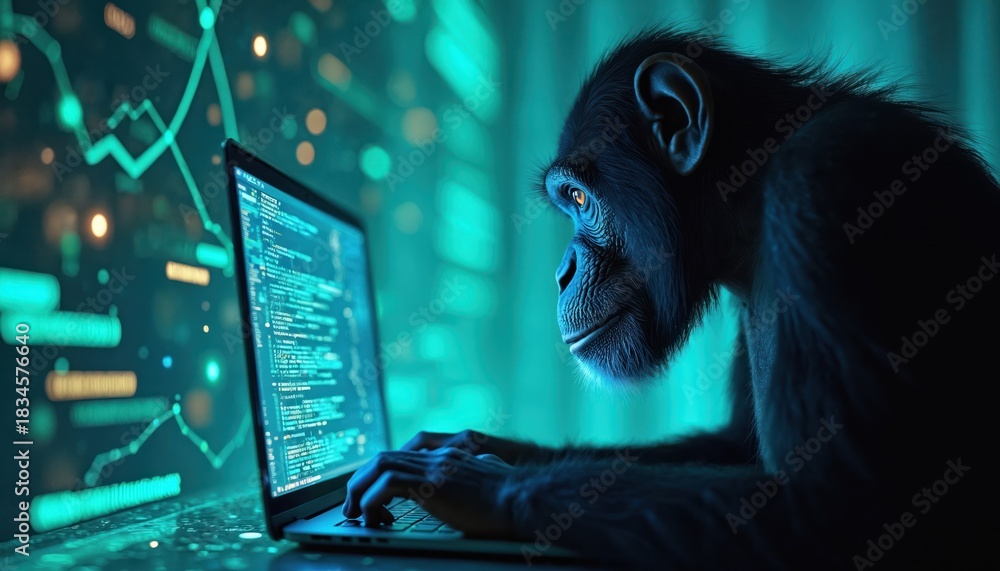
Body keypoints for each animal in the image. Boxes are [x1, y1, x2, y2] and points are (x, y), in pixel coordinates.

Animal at [344, 27, 1000, 570]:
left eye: (578, 198)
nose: (560, 272)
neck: (748, 206)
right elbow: (732, 446)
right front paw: (478, 445)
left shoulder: (829, 181)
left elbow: (838, 506)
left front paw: (464, 479)